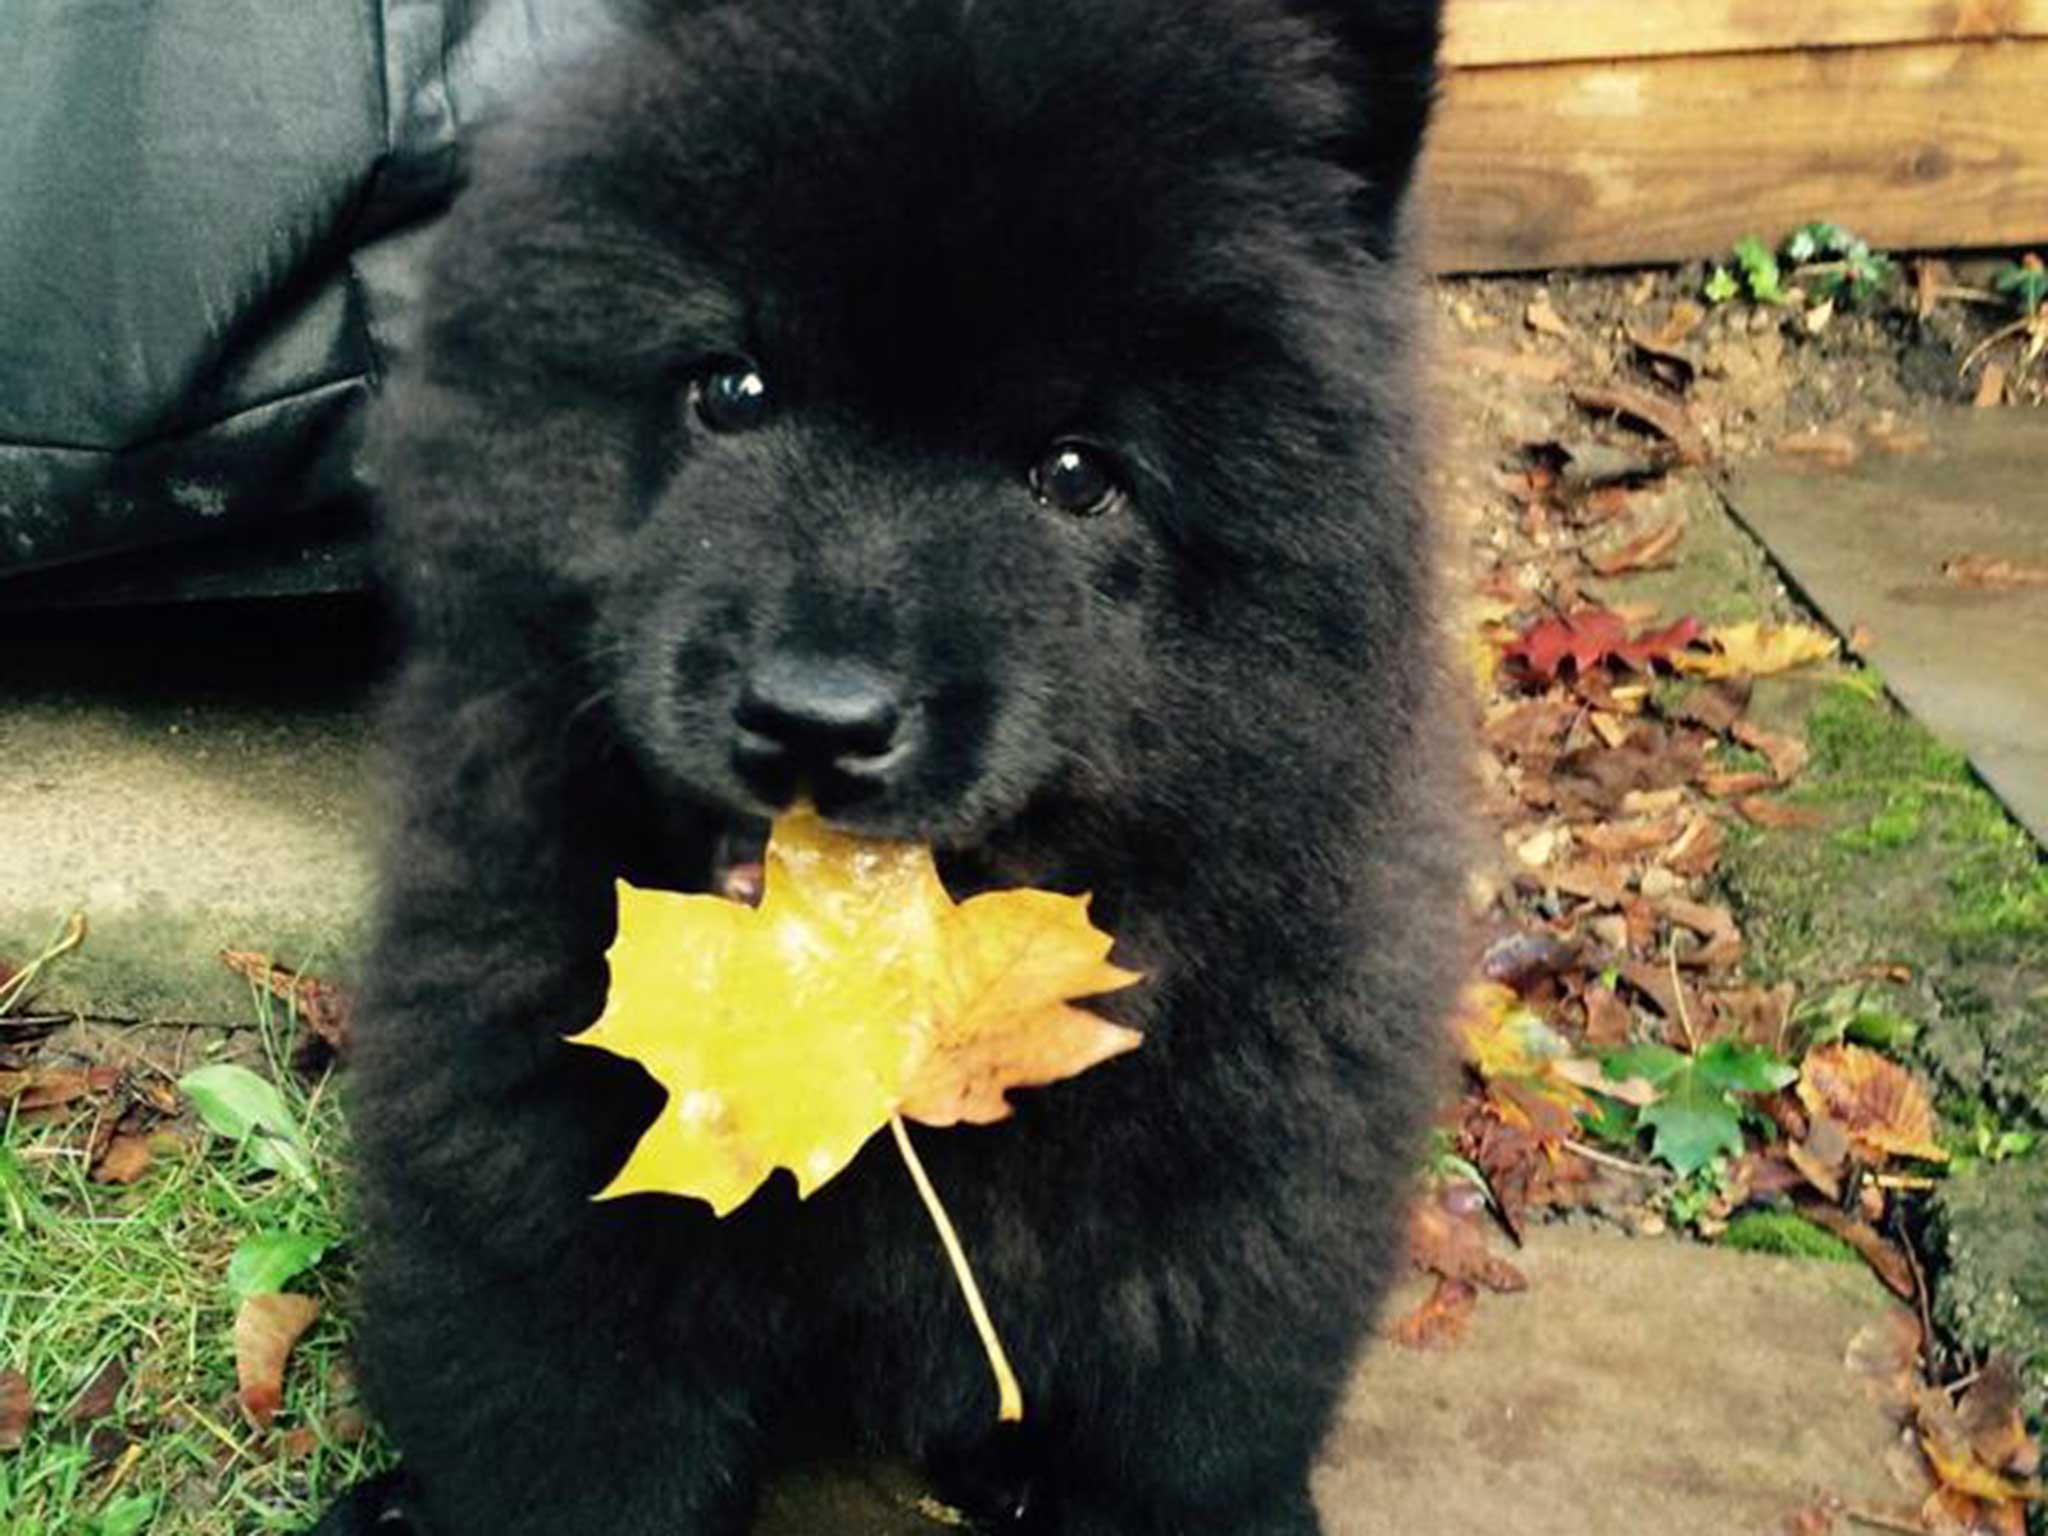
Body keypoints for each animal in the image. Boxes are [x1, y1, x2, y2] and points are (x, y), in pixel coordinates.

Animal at [327, 3, 1458, 1536]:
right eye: (734, 390)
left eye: (1077, 473)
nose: (814, 717)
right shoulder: (544, 1218)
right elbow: (568, 1438)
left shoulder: (1222, 1244)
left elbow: (1181, 1441)